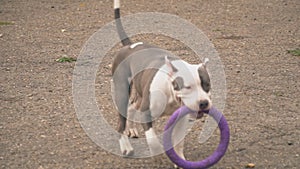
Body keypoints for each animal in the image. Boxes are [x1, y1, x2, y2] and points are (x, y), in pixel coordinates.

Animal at [110, 0, 211, 163]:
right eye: (188, 87)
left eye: (207, 85)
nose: (203, 103)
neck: (170, 91)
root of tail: (129, 45)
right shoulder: (146, 113)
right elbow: (153, 140)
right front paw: (158, 153)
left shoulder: (181, 118)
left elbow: (178, 142)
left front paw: (180, 159)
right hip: (121, 91)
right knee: (121, 122)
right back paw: (126, 147)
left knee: (132, 106)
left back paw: (131, 128)